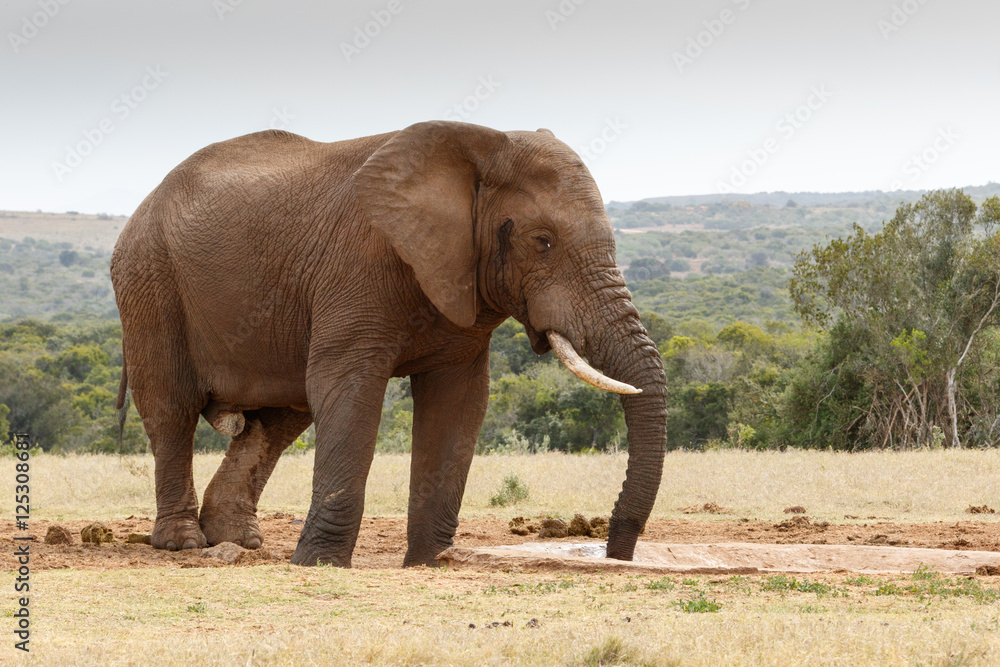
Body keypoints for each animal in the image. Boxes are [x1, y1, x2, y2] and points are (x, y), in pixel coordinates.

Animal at [110, 120, 667, 567]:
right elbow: (348, 392)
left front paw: (431, 562)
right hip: (149, 278)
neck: (480, 148)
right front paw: (319, 565)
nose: (614, 554)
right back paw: (183, 543)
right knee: (171, 410)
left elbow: (459, 403)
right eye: (542, 241)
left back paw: (238, 541)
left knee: (279, 417)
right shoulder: (356, 266)